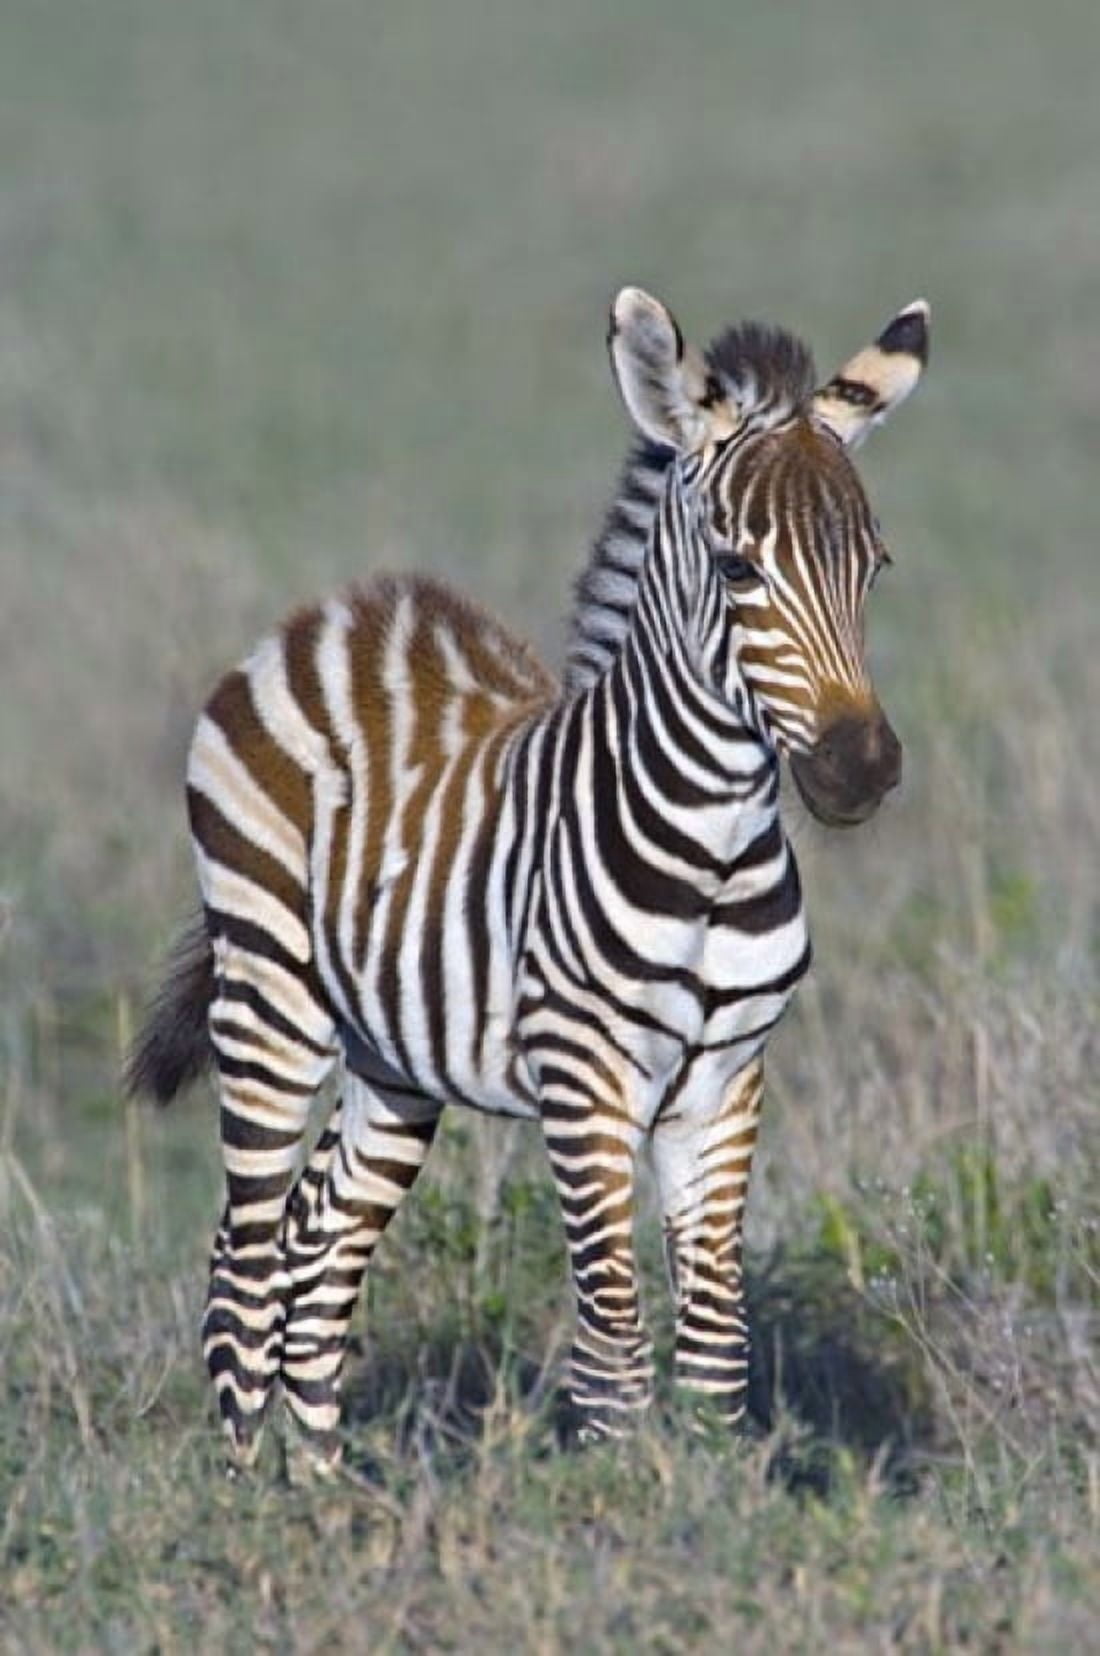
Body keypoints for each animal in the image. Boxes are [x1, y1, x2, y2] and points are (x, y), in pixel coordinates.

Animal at [128, 286, 928, 1470]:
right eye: (739, 569)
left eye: (874, 567)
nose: (859, 769)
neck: (712, 853)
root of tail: (334, 617)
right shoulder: (584, 1077)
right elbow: (613, 1341)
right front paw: (621, 1496)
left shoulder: (727, 1081)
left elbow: (714, 1345)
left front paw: (710, 1494)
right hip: (270, 996)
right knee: (248, 1257)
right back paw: (244, 1495)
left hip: (394, 1058)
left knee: (320, 1247)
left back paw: (316, 1488)